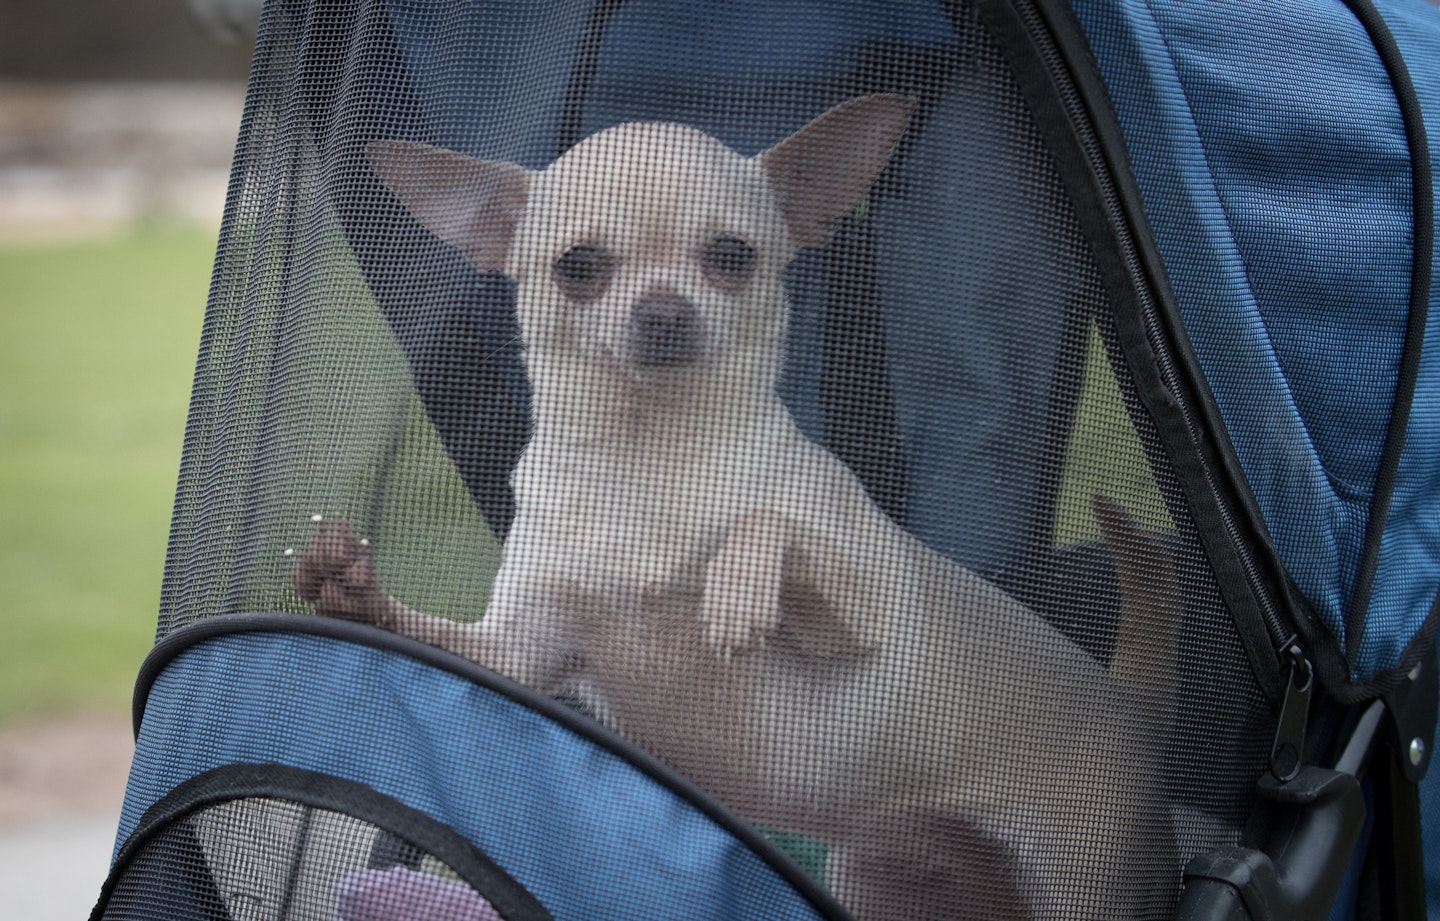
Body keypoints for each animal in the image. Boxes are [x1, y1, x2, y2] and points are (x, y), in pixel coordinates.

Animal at [295, 97, 1180, 915]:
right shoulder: (520, 655)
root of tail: (1135, 705)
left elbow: (768, 519)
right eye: (578, 264)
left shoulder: (867, 612)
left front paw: (735, 588)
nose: (663, 310)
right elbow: (439, 636)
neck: (645, 463)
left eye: (731, 255)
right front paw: (352, 587)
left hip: (1081, 886)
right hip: (878, 882)